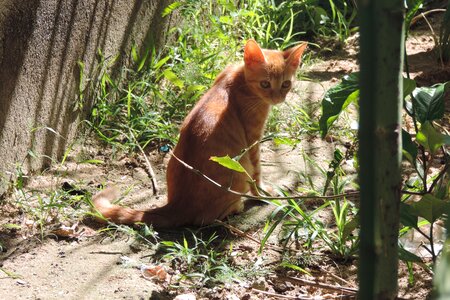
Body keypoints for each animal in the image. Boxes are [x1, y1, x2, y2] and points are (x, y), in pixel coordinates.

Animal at [93, 39, 308, 227]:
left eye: (286, 84)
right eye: (265, 84)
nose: (278, 98)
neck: (240, 78)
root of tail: (176, 205)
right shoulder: (253, 141)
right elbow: (257, 172)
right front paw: (263, 193)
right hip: (240, 168)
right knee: (208, 219)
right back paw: (237, 207)